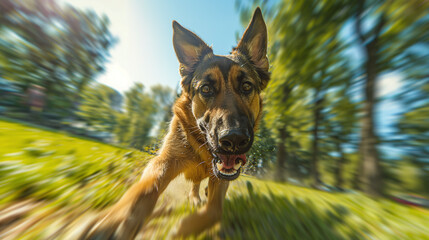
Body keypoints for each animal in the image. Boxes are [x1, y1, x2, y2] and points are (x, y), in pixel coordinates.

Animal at [80, 7, 268, 238]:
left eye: (246, 86)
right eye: (206, 89)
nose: (234, 139)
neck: (201, 149)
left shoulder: (223, 177)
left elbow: (215, 210)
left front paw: (185, 226)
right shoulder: (165, 161)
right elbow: (145, 189)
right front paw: (114, 221)